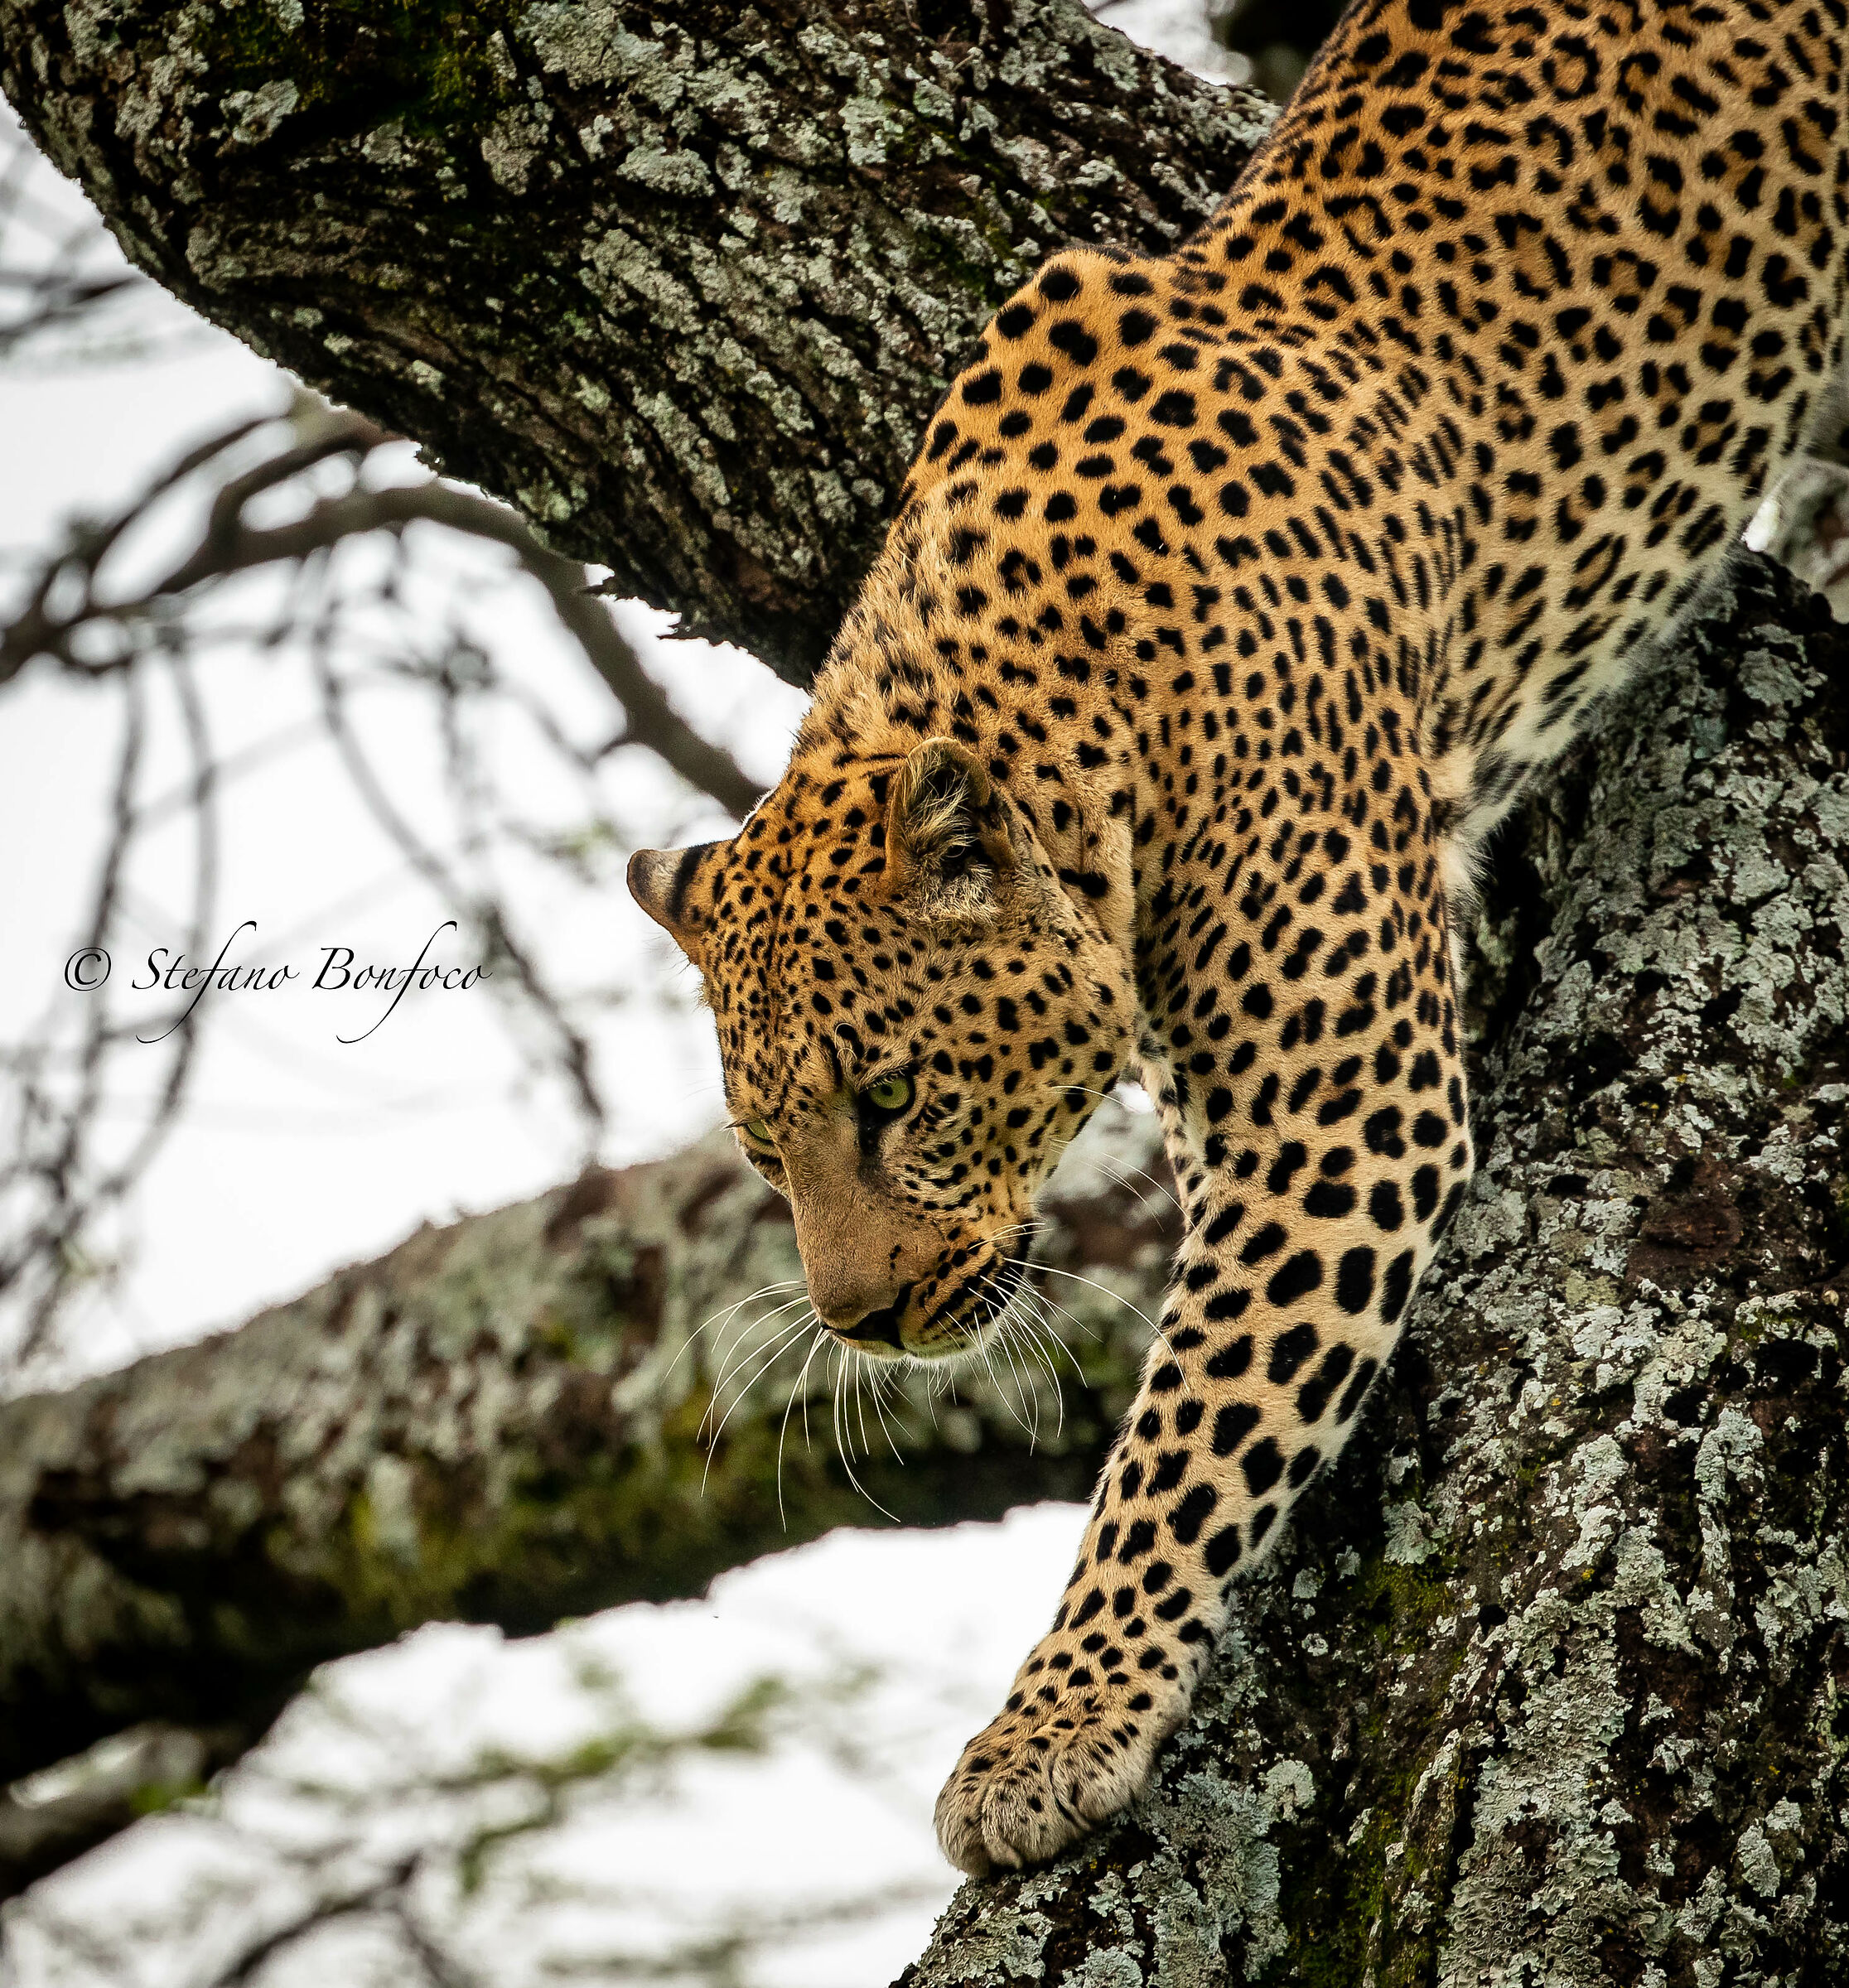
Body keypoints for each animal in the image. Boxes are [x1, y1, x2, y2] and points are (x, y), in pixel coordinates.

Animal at [630, 0, 1849, 1878]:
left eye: (895, 1100)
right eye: (762, 1148)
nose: (862, 1322)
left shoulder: (1337, 1116)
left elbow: (1188, 1437)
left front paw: (1047, 1737)